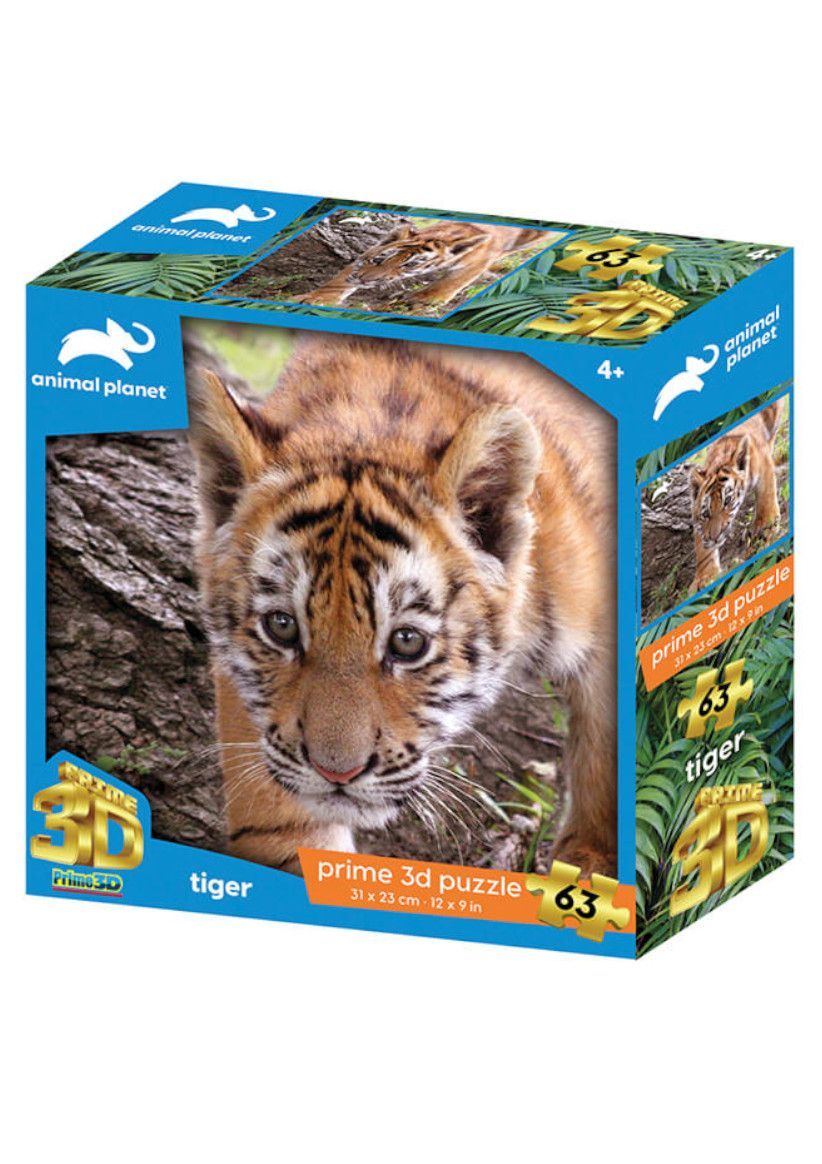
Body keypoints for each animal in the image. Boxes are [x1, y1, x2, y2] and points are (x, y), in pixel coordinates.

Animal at [301, 221, 544, 312]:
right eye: (378, 260)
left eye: (409, 266)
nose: (366, 280)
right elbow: (341, 279)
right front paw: (316, 298)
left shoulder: (479, 259)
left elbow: (452, 281)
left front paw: (422, 299)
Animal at [690, 400, 784, 592]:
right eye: (706, 513)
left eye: (728, 501)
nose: (715, 537)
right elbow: (702, 547)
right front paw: (705, 577)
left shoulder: (763, 469)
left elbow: (766, 500)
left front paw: (765, 531)